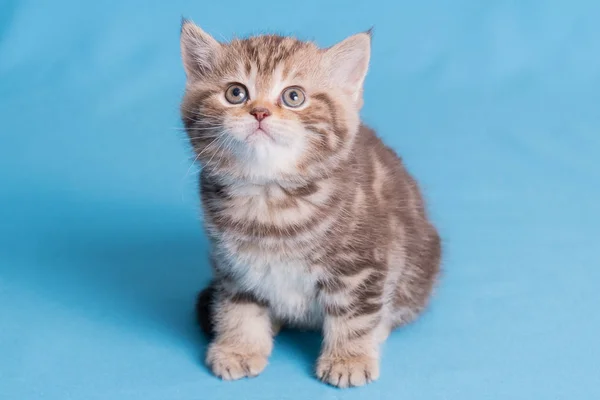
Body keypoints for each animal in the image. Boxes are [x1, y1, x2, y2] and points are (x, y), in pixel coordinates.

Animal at [178, 19, 440, 388]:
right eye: (235, 93)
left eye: (294, 96)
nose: (259, 112)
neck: (270, 199)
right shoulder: (232, 264)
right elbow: (239, 305)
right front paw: (239, 348)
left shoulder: (362, 264)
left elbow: (355, 314)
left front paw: (349, 358)